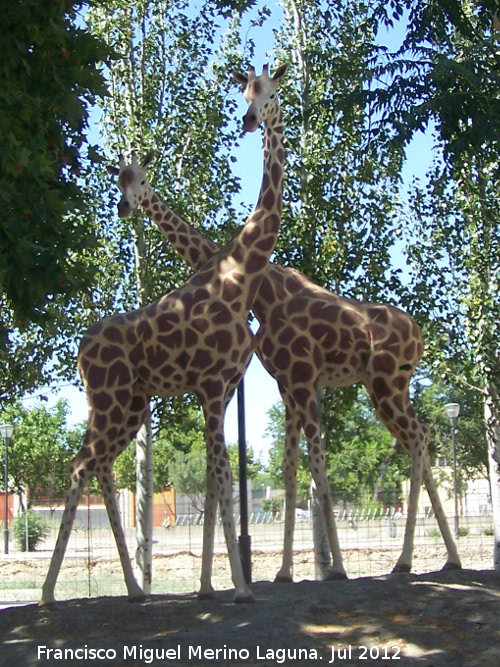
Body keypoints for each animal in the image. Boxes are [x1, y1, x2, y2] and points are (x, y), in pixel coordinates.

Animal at [40, 61, 286, 604]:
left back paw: (136, 589)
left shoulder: (222, 388)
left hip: (130, 406)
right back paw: (47, 595)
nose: (248, 120)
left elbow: (216, 479)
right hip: (110, 401)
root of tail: (80, 349)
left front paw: (210, 588)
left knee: (100, 467)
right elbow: (222, 475)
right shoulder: (212, 385)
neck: (242, 274)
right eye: (243, 91)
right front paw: (240, 589)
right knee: (78, 466)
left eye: (267, 91)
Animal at [108, 90, 460, 584]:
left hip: (386, 383)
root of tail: (418, 334)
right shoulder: (287, 385)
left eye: (138, 179)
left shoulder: (300, 380)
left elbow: (313, 466)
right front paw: (284, 572)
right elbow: (291, 470)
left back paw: (407, 561)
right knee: (422, 439)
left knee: (419, 439)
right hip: (390, 385)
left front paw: (329, 570)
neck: (264, 292)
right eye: (118, 182)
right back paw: (448, 557)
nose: (125, 207)